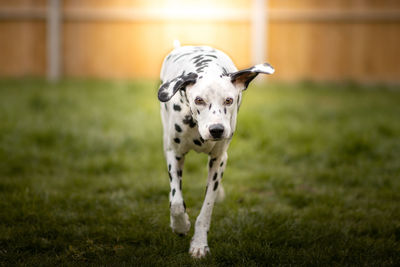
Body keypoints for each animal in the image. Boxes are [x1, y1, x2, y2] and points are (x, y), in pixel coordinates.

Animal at [158, 44, 274, 260]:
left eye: (229, 100)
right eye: (199, 100)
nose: (217, 129)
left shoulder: (218, 159)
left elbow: (206, 209)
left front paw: (199, 244)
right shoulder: (174, 154)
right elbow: (176, 202)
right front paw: (180, 225)